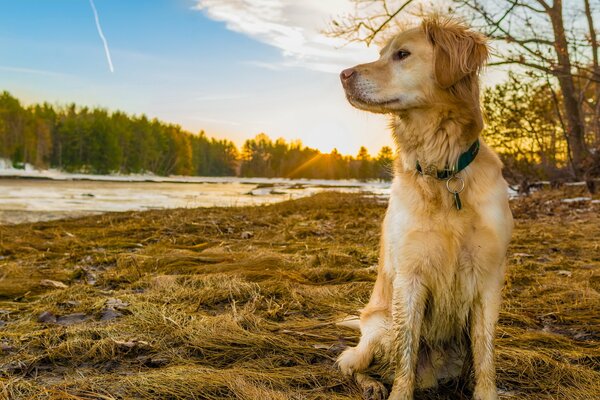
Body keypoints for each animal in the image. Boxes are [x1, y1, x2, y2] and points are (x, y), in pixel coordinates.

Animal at [336, 16, 512, 400]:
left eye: (402, 54)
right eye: (381, 54)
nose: (343, 74)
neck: (443, 171)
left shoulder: (487, 278)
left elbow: (485, 352)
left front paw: (487, 392)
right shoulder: (410, 277)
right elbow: (406, 354)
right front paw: (399, 394)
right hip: (378, 330)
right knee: (350, 363)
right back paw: (371, 385)